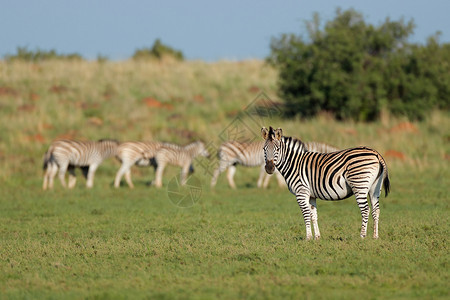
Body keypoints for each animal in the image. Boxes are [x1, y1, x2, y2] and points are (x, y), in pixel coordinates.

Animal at [210, 140, 338, 188]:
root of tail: (222, 145)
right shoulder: (266, 162)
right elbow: (265, 173)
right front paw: (261, 185)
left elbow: (274, 174)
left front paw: (279, 185)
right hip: (226, 160)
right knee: (216, 170)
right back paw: (212, 186)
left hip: (234, 163)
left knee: (229, 175)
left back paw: (234, 187)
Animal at [260, 126, 390, 239]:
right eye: (264, 149)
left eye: (277, 149)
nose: (269, 168)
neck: (293, 163)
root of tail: (376, 153)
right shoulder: (311, 195)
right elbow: (313, 215)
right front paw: (317, 237)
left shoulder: (301, 192)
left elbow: (306, 214)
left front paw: (308, 237)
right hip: (374, 188)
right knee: (376, 210)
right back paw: (375, 236)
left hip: (359, 185)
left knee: (365, 210)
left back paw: (362, 236)